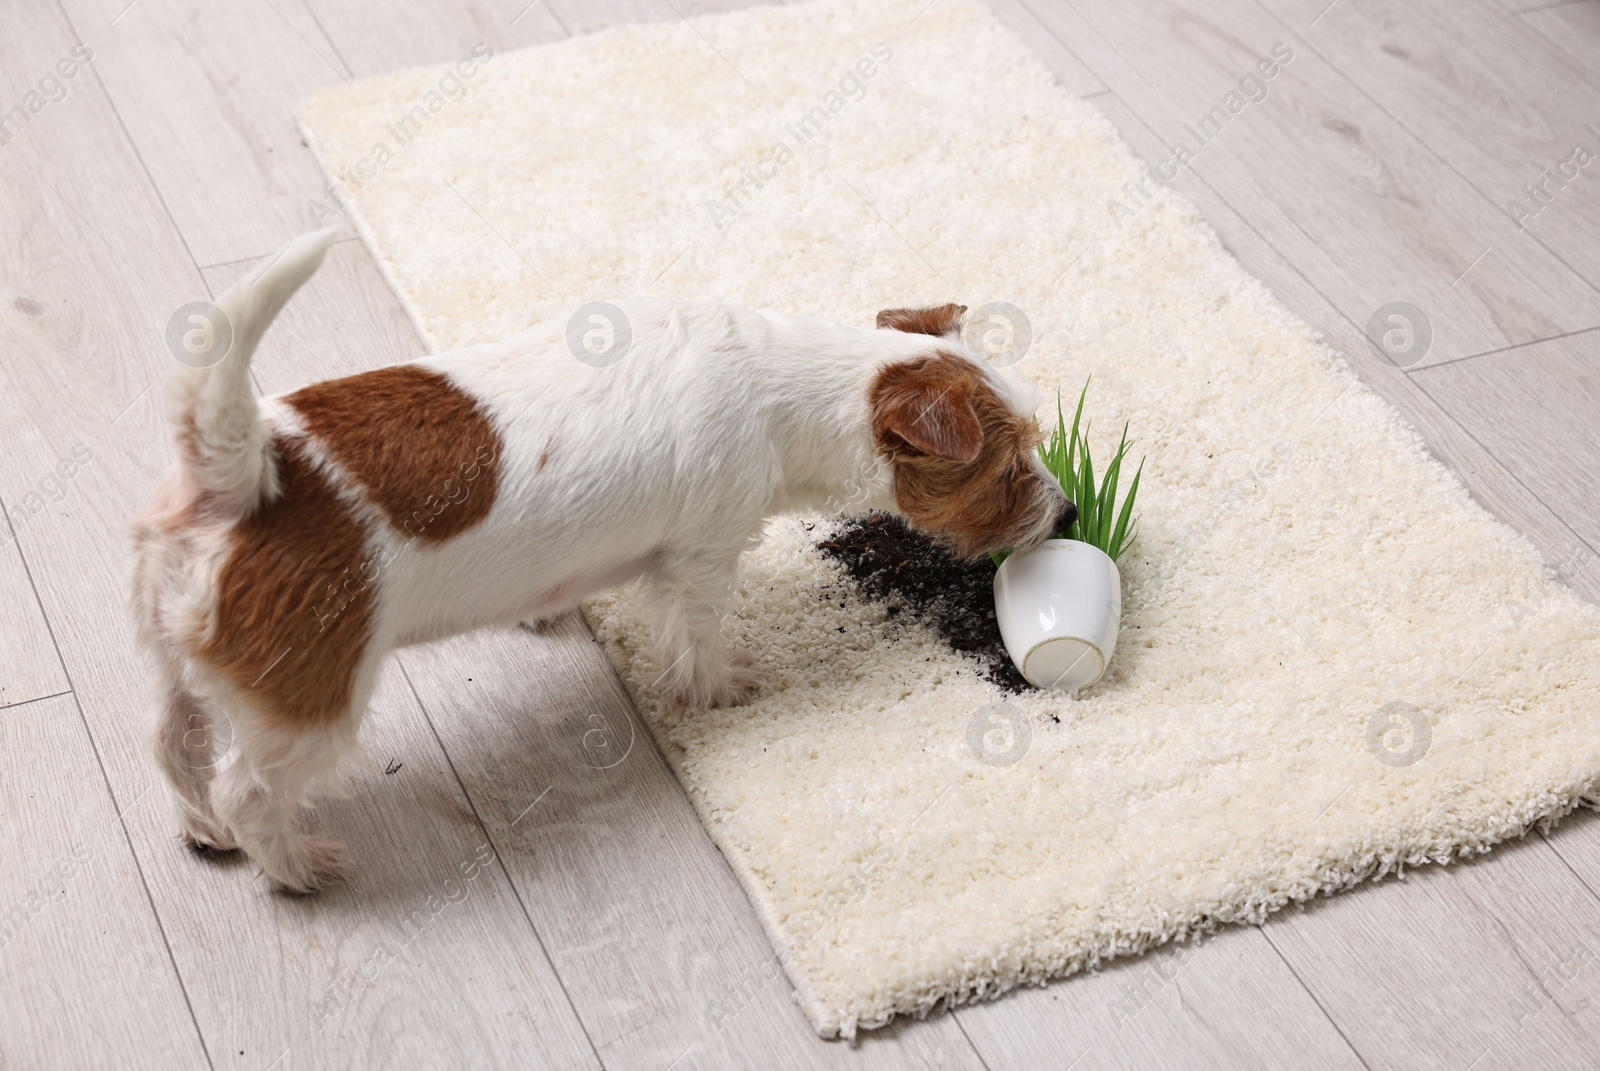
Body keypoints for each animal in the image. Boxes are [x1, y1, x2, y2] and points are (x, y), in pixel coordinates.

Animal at [128, 230, 1075, 890]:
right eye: (1008, 466)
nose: (1068, 511)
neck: (788, 385)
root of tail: (245, 476)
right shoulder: (701, 557)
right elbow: (697, 636)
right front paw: (723, 685)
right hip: (310, 704)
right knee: (249, 788)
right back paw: (298, 867)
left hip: (175, 661)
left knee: (175, 745)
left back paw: (204, 830)